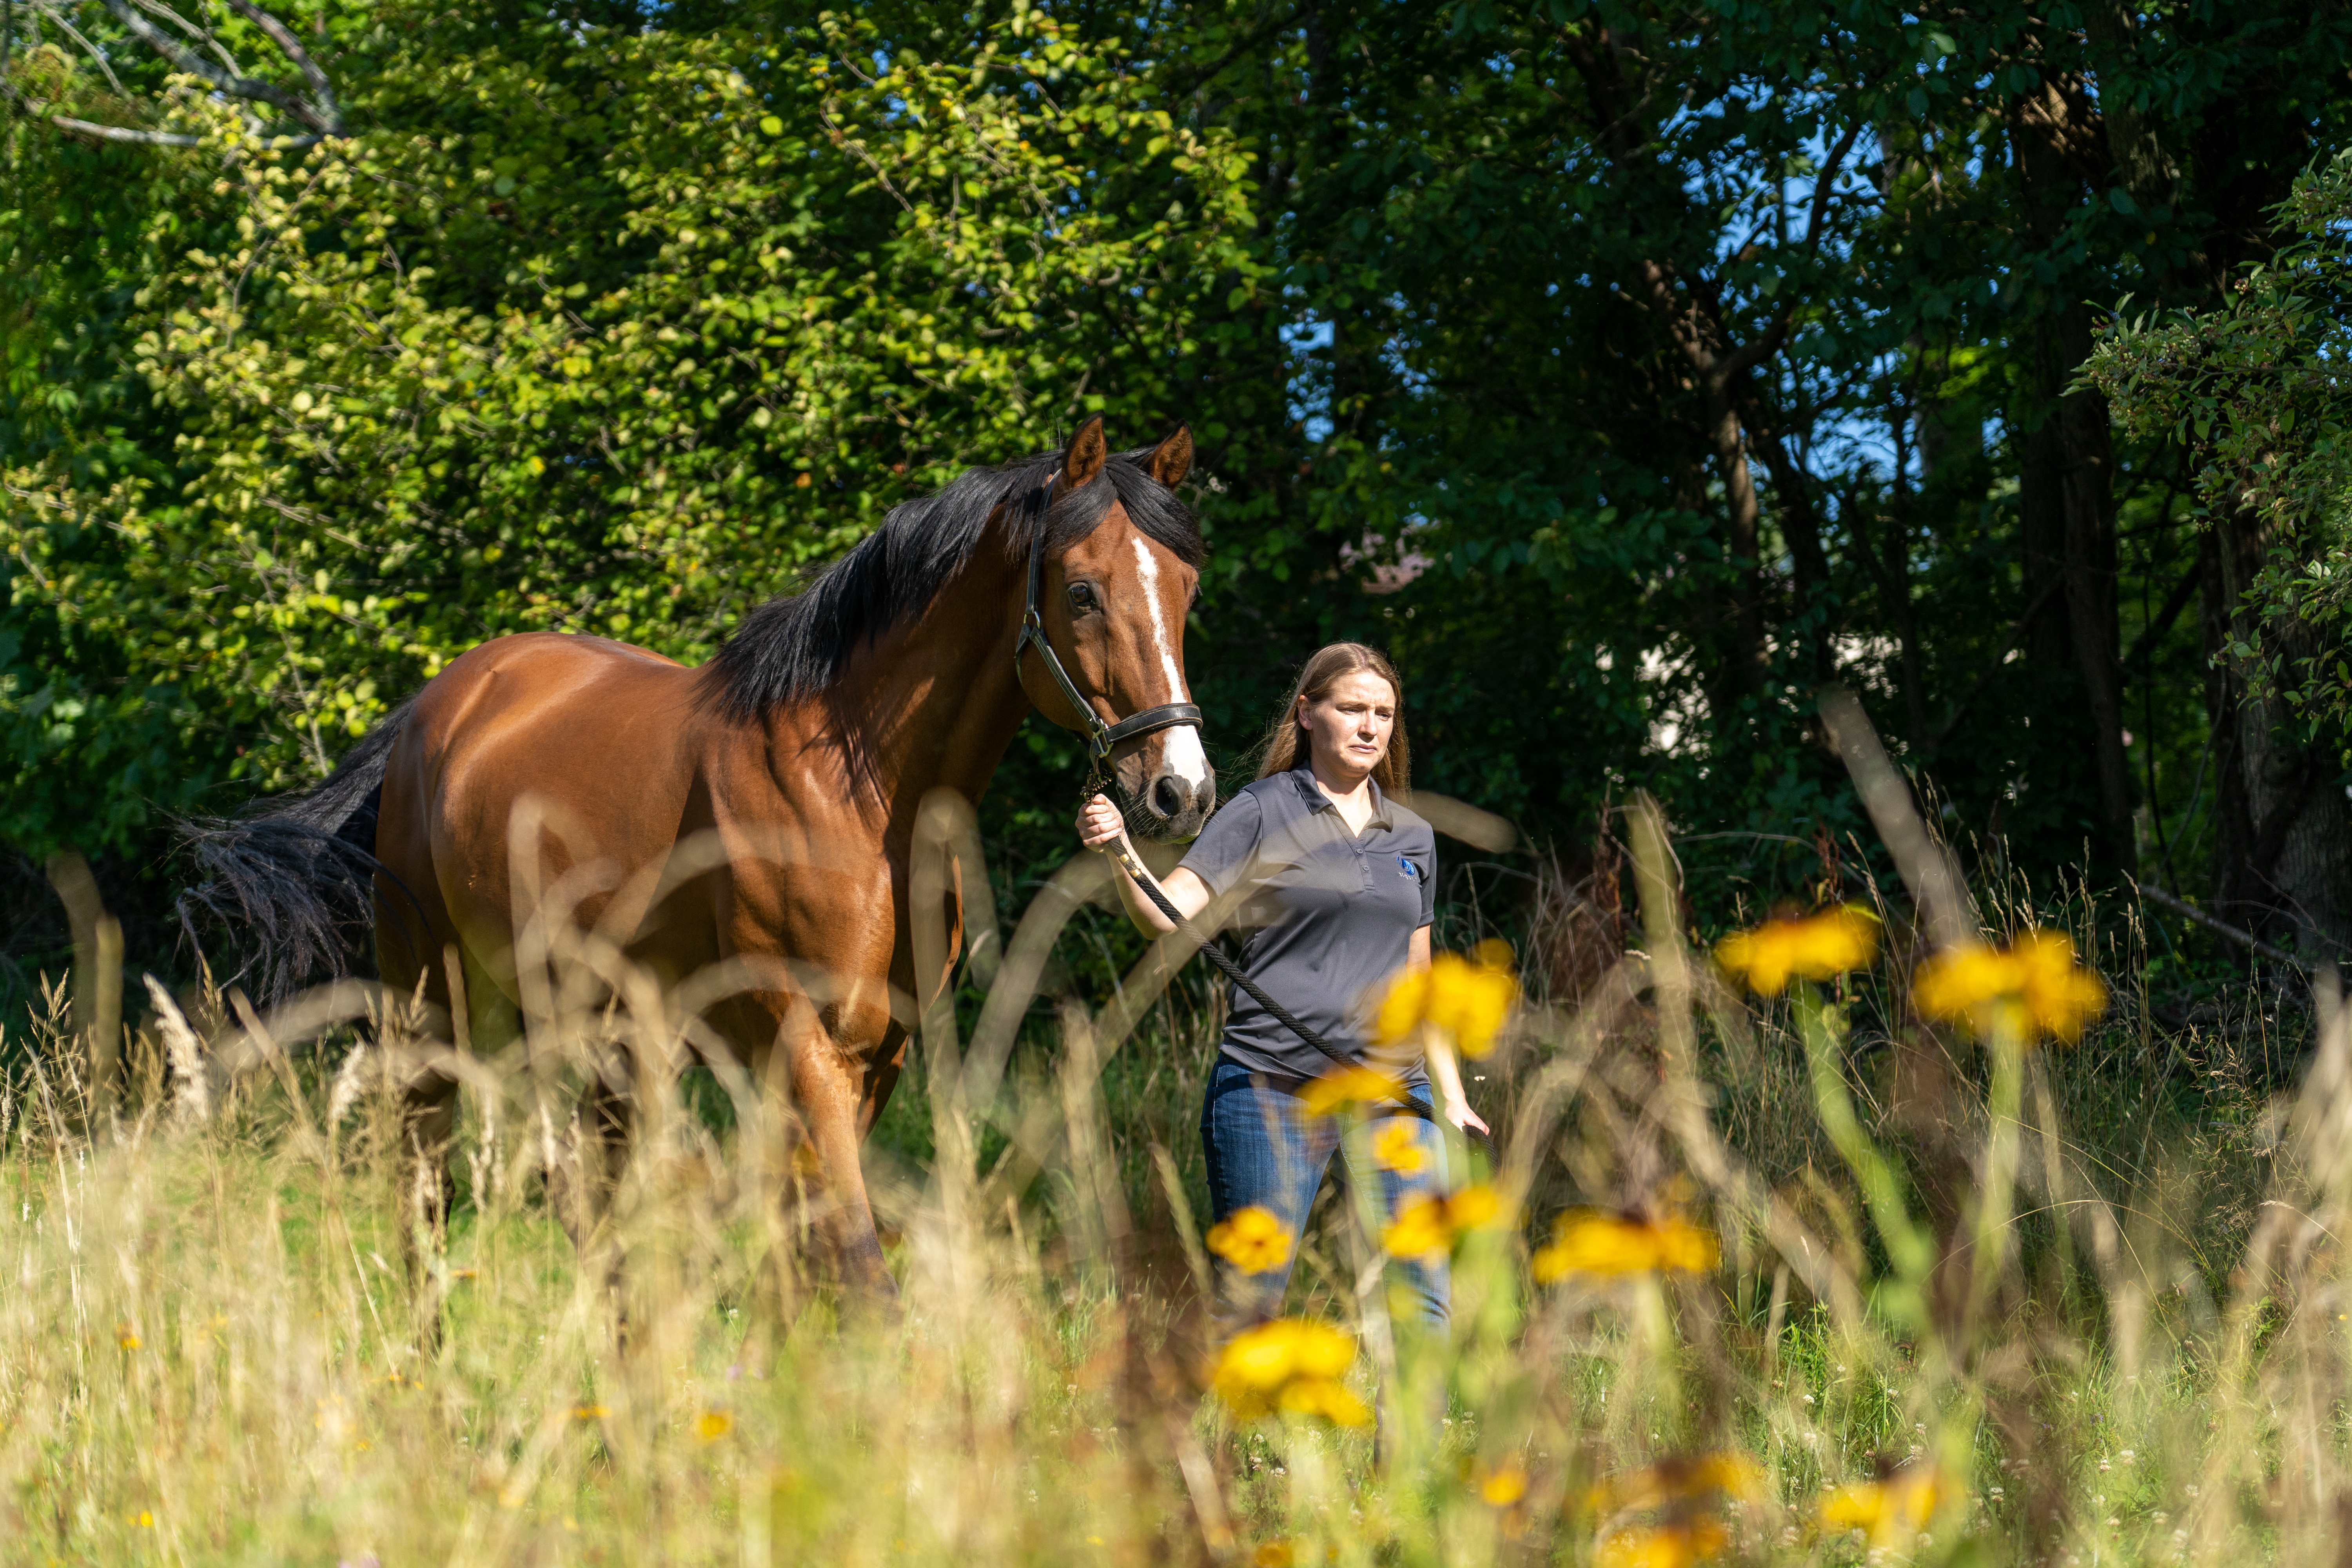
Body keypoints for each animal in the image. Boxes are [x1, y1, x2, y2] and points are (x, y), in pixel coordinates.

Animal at [182, 418, 1213, 1296]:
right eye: (1082, 592)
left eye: (1185, 590)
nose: (1182, 790)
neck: (858, 791)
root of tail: (440, 706)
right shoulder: (807, 1044)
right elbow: (857, 1265)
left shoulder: (874, 1056)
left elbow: (801, 1260)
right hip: (433, 1008)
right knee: (424, 1192)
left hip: (602, 1039)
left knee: (590, 1217)